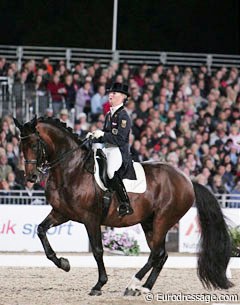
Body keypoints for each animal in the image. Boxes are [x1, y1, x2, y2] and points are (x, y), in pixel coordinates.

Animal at [13, 116, 234, 294]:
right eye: (21, 147)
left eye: (34, 145)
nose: (31, 177)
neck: (71, 169)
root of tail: (187, 180)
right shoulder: (61, 213)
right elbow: (41, 230)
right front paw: (63, 263)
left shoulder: (90, 218)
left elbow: (97, 250)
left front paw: (99, 284)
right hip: (149, 222)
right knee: (160, 255)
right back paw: (144, 288)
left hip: (163, 220)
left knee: (156, 254)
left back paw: (133, 284)